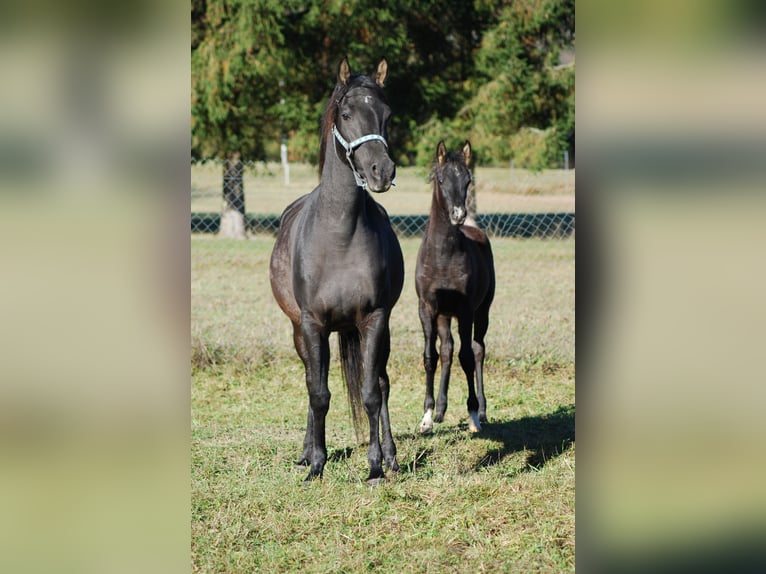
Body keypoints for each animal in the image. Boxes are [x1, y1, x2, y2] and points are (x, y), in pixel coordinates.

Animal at [270, 57, 404, 486]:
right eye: (346, 114)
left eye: (387, 114)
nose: (381, 171)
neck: (340, 234)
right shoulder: (313, 325)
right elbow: (319, 393)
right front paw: (316, 463)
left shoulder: (374, 320)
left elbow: (372, 393)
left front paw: (376, 466)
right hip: (300, 331)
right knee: (311, 382)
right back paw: (305, 452)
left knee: (381, 383)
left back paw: (392, 457)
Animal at [414, 142, 498, 434]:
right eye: (440, 179)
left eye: (468, 179)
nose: (459, 215)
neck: (443, 257)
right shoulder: (427, 308)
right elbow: (431, 356)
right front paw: (427, 416)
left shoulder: (465, 310)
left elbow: (467, 357)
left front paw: (473, 414)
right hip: (443, 316)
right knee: (447, 350)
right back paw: (440, 410)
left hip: (482, 312)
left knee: (478, 349)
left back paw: (482, 411)